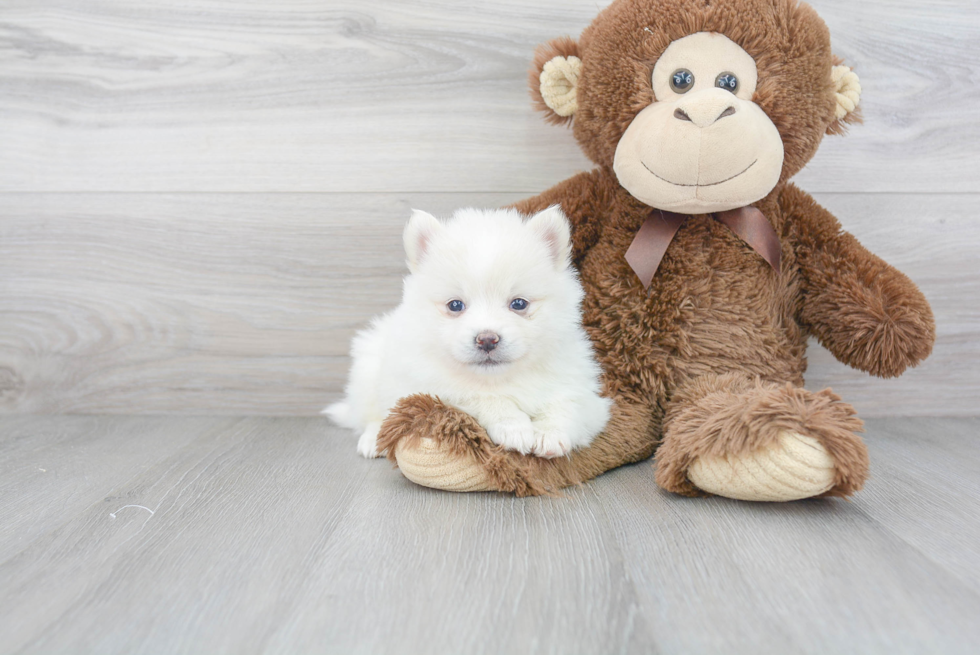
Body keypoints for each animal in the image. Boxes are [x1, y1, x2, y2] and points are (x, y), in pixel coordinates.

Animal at [326, 208, 608, 458]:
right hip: (369, 370)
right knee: (372, 414)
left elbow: (566, 405)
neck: (500, 378)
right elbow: (485, 398)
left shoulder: (583, 392)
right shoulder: (436, 390)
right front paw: (514, 428)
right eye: (455, 305)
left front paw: (549, 434)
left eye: (519, 303)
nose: (487, 339)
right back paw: (373, 439)